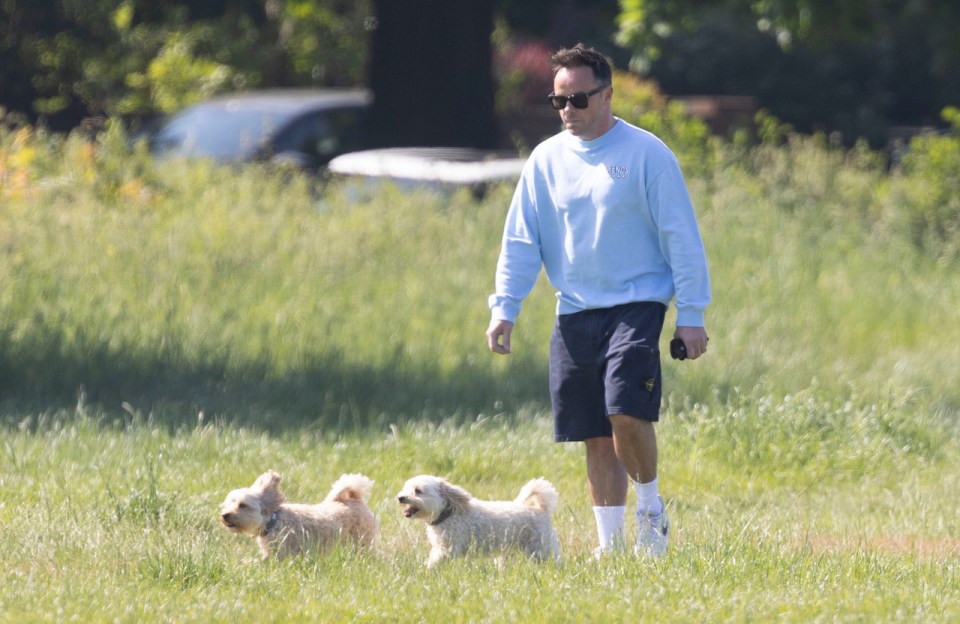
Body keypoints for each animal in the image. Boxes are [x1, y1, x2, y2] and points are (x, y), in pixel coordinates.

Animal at [219, 470, 376, 560]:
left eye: (242, 505)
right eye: (228, 504)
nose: (224, 515)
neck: (274, 522)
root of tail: (354, 499)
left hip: (362, 542)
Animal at [398, 476, 564, 568]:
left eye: (418, 491)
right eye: (405, 488)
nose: (401, 497)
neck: (447, 515)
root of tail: (542, 510)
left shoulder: (448, 548)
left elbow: (434, 561)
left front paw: (427, 571)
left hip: (542, 547)